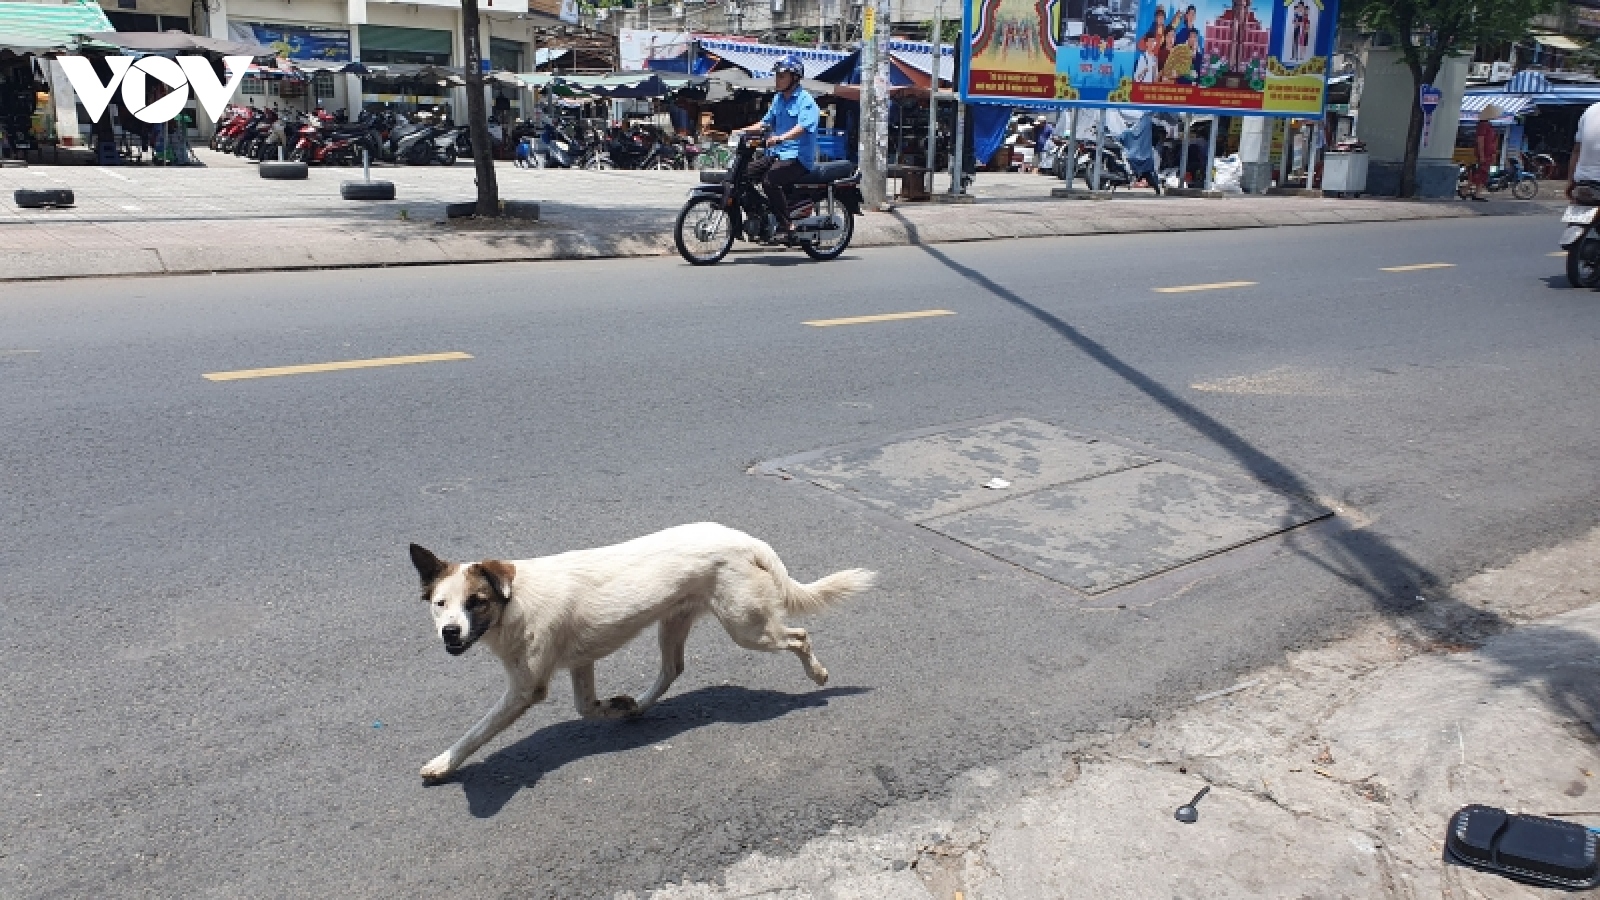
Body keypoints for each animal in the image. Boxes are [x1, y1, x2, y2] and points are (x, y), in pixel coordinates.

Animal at [406, 518, 870, 778]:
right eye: (439, 604)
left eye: (476, 601)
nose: (450, 633)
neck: (512, 599)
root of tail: (745, 539)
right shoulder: (581, 662)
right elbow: (586, 707)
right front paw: (615, 706)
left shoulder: (525, 689)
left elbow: (477, 732)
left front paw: (444, 763)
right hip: (674, 622)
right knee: (672, 670)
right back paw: (638, 706)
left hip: (749, 629)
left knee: (799, 636)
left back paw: (817, 676)